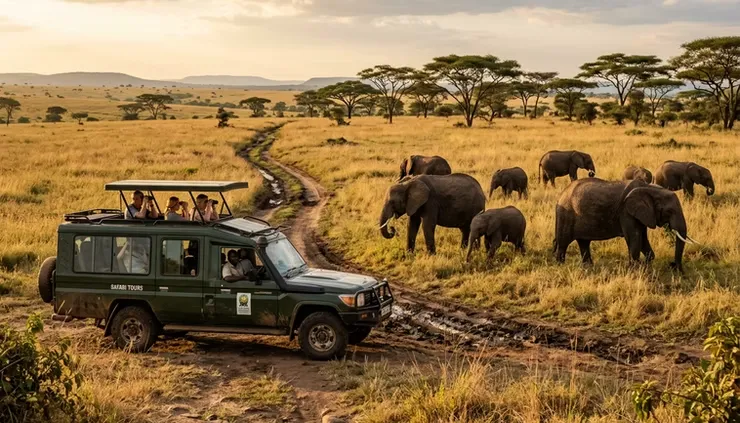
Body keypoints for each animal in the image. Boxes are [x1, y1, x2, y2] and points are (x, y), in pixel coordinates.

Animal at [554, 178, 696, 272]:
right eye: (669, 211)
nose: (673, 266)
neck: (650, 188)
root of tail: (561, 194)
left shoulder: (642, 213)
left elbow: (643, 238)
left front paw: (644, 266)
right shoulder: (626, 212)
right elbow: (635, 237)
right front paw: (634, 270)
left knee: (583, 242)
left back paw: (588, 267)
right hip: (566, 214)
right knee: (563, 242)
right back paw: (561, 266)